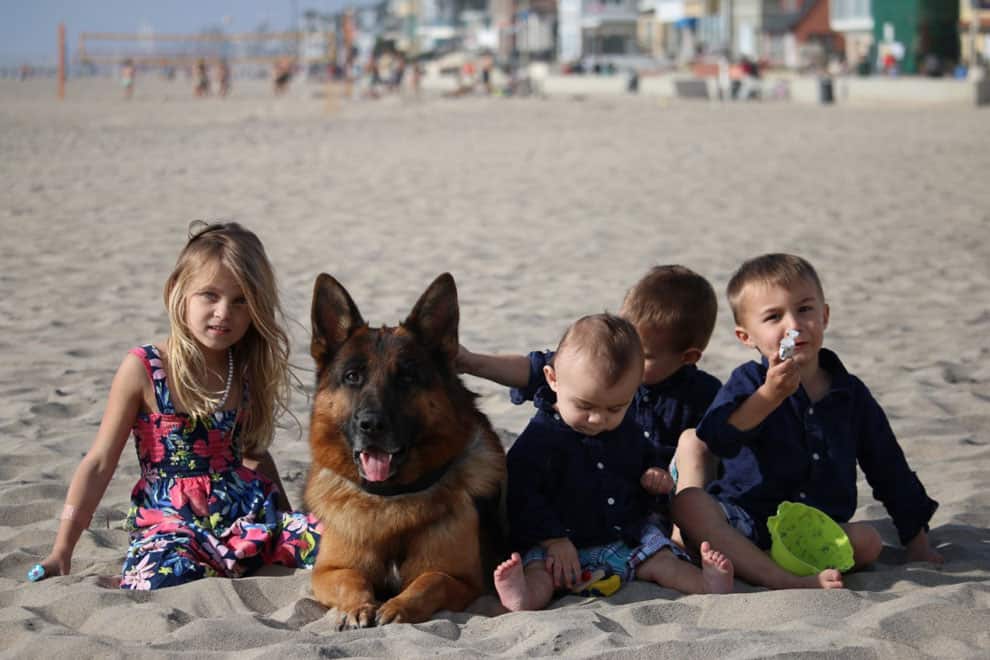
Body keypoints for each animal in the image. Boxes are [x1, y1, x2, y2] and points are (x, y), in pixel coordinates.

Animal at [306, 272, 508, 628]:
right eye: (352, 376)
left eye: (407, 378)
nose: (371, 425)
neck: (390, 498)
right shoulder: (328, 571)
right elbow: (351, 580)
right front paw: (359, 606)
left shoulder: (463, 581)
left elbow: (430, 581)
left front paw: (397, 607)